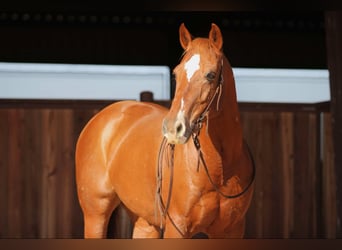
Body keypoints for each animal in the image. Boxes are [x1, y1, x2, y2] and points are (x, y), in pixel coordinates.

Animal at [75, 22, 256, 237]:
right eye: (176, 74)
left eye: (211, 75)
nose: (173, 127)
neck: (220, 168)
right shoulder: (177, 226)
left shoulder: (231, 230)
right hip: (95, 216)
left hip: (145, 222)